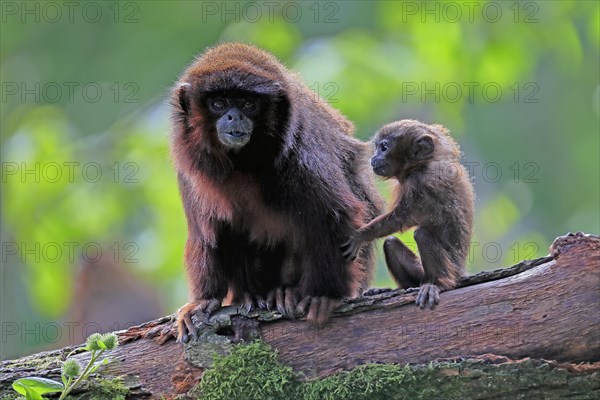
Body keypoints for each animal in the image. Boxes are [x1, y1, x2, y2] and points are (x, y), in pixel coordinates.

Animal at [171, 43, 382, 344]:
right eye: (218, 103)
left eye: (248, 104)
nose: (234, 116)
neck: (243, 163)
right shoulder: (190, 173)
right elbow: (206, 234)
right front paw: (205, 299)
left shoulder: (301, 151)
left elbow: (333, 215)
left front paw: (323, 295)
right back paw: (250, 295)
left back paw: (287, 291)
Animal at [342, 120, 474, 308]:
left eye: (383, 148)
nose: (373, 158)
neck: (423, 164)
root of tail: (462, 271)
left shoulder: (420, 182)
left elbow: (401, 218)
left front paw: (360, 236)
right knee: (390, 243)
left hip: (451, 272)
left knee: (422, 234)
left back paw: (439, 283)